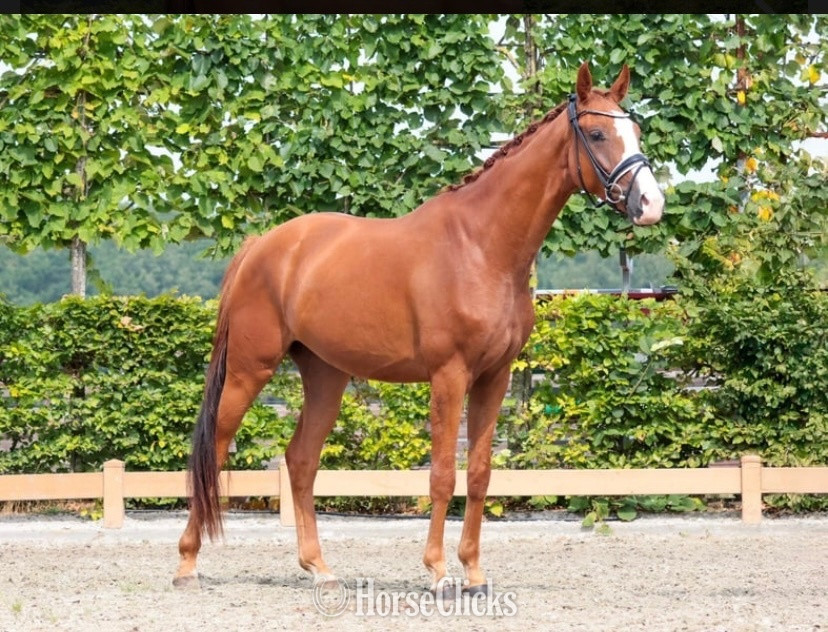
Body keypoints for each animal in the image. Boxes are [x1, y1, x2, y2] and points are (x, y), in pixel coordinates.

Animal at [172, 62, 665, 593]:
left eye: (636, 131)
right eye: (596, 133)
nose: (651, 203)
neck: (481, 246)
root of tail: (262, 245)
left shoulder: (495, 378)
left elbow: (479, 474)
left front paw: (474, 572)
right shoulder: (449, 376)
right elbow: (442, 474)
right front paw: (438, 571)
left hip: (325, 375)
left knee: (301, 460)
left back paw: (319, 568)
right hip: (250, 370)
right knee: (214, 451)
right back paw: (187, 564)